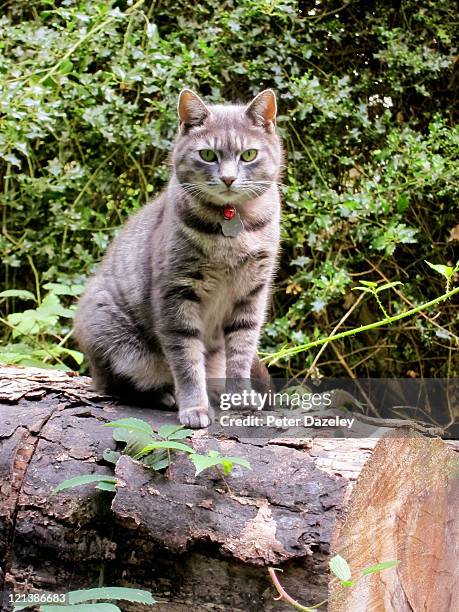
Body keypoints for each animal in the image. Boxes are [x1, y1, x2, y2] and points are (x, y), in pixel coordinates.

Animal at [74, 88, 282, 428]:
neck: (232, 224)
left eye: (249, 155)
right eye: (208, 155)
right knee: (122, 385)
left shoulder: (251, 294)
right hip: (119, 343)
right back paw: (166, 395)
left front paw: (240, 399)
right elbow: (186, 360)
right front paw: (194, 407)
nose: (228, 179)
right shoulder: (177, 294)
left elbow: (241, 350)